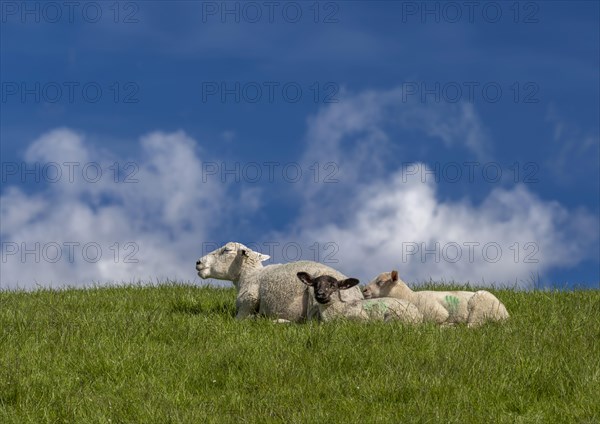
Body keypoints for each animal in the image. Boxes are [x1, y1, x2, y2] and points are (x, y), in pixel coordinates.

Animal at [364, 270, 508, 326]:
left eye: (380, 282)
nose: (364, 290)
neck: (410, 296)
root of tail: (505, 314)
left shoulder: (437, 313)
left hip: (480, 308)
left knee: (472, 326)